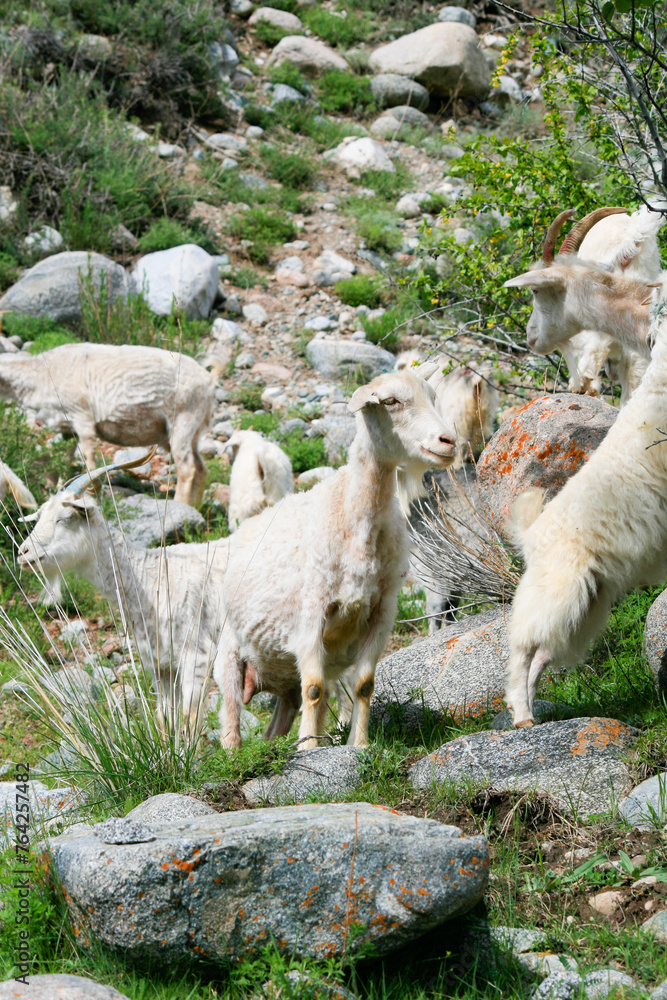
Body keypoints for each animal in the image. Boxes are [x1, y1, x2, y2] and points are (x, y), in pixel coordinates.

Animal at [0, 343, 214, 505]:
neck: (42, 375)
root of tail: (208, 381)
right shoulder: (68, 427)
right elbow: (63, 458)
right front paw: (57, 487)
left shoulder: (82, 418)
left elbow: (88, 459)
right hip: (192, 429)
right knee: (201, 468)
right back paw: (195, 507)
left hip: (183, 419)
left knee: (187, 468)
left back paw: (180, 505)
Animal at [17, 453, 229, 734]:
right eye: (39, 517)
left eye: (65, 517)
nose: (23, 553)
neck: (149, 579)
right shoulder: (159, 664)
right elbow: (164, 719)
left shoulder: (197, 655)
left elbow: (189, 721)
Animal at [215, 370, 457, 750]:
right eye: (390, 401)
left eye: (433, 397)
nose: (449, 441)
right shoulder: (311, 613)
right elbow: (314, 689)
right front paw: (310, 749)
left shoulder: (381, 612)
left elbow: (363, 685)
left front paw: (358, 744)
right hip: (228, 650)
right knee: (232, 712)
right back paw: (234, 751)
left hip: (285, 674)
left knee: (282, 714)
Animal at [504, 306, 667, 727]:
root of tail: (531, 536)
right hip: (559, 591)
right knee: (524, 647)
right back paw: (521, 715)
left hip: (587, 606)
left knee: (543, 654)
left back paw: (530, 713)